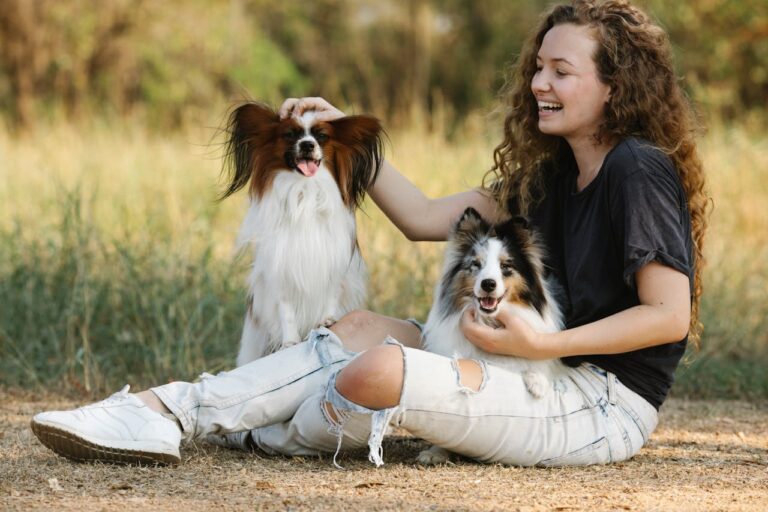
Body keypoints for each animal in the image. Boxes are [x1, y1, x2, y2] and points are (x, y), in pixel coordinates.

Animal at [224, 102, 384, 364]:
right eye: (290, 135)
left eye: (322, 136)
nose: (308, 144)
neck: (304, 190)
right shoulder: (280, 268)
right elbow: (286, 309)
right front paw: (289, 341)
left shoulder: (334, 265)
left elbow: (330, 296)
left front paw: (327, 320)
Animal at [416, 206, 568, 462]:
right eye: (475, 264)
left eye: (506, 266)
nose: (488, 284)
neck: (489, 320)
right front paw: (435, 452)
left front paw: (537, 381)